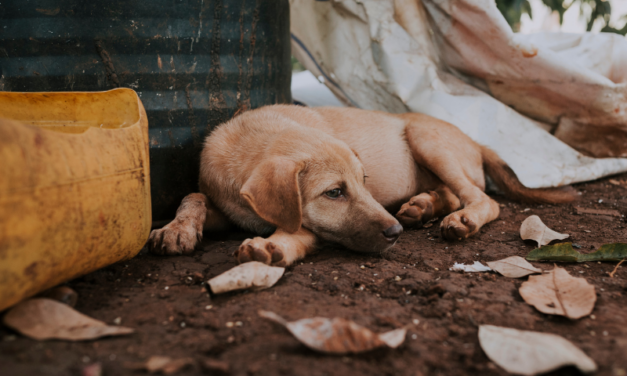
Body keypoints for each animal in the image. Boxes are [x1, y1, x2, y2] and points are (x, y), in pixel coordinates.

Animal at [148, 104, 580, 266]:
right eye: (334, 192)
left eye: (364, 182)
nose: (394, 233)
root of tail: (476, 142)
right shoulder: (227, 204)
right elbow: (193, 195)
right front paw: (177, 228)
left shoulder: (310, 226)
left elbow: (297, 230)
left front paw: (273, 245)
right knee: (454, 192)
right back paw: (422, 206)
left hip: (426, 138)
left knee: (482, 198)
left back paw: (461, 218)